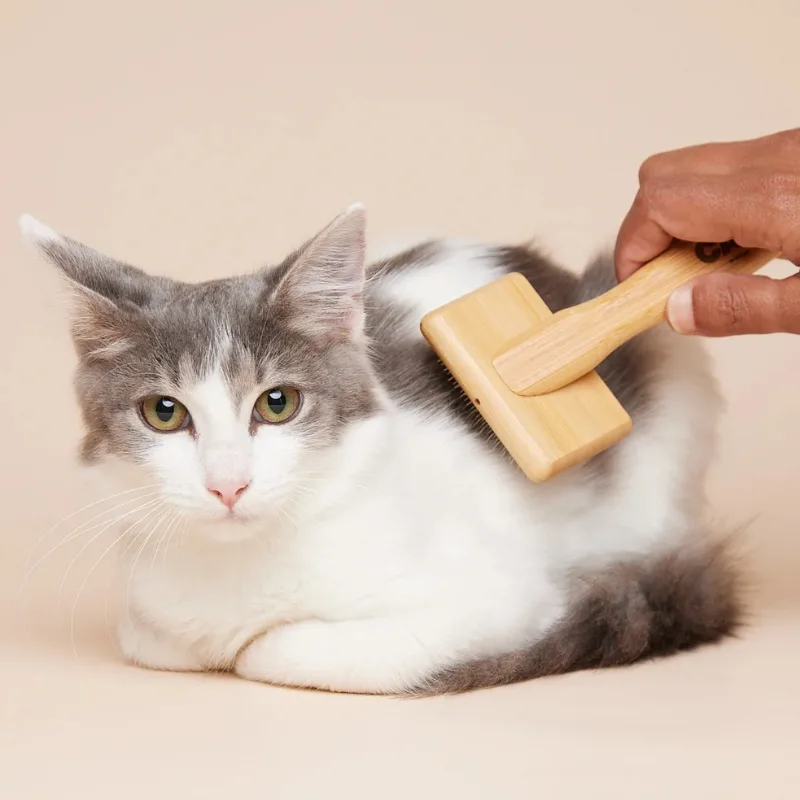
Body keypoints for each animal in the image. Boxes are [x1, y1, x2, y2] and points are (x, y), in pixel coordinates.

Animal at [20, 206, 744, 692]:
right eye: (164, 413)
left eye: (277, 404)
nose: (228, 484)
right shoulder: (151, 611)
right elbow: (153, 637)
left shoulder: (501, 599)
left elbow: (269, 651)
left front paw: (255, 644)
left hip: (668, 362)